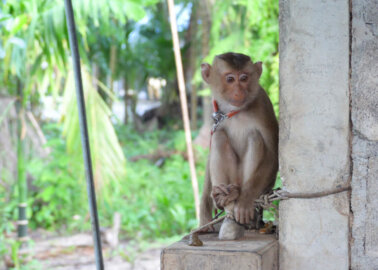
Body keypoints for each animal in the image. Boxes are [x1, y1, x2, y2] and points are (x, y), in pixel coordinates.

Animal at [201, 51, 278, 239]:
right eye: (230, 79)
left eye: (244, 78)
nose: (239, 91)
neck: (233, 110)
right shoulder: (215, 111)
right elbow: (212, 146)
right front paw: (204, 212)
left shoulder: (263, 106)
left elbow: (273, 155)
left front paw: (245, 201)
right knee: (219, 136)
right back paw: (222, 199)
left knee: (255, 137)